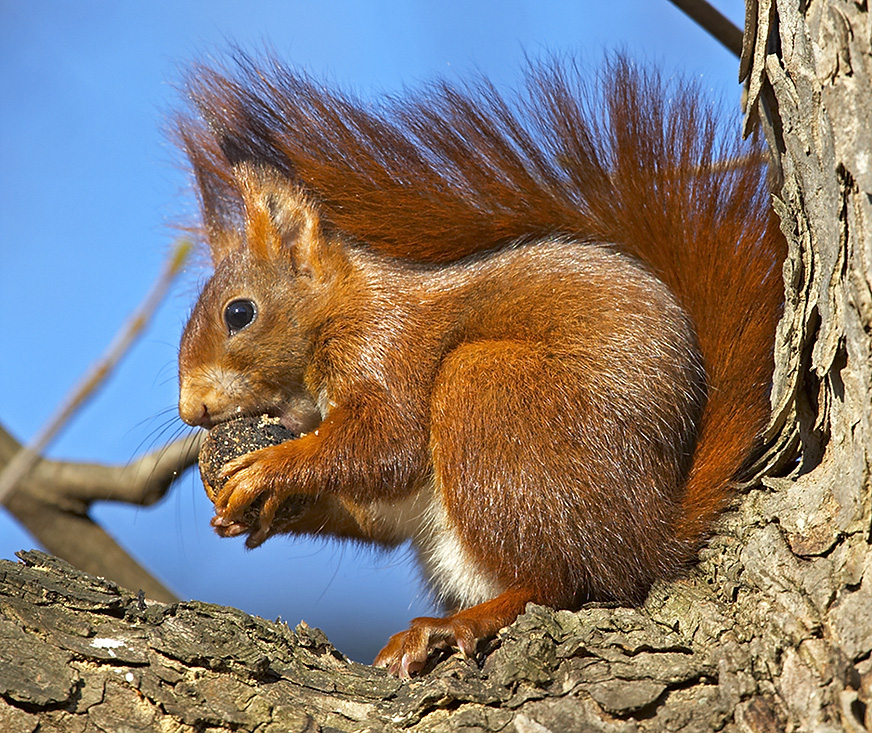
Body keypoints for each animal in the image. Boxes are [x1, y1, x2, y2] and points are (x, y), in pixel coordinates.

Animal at [175, 55, 784, 676]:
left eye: (239, 313)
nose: (191, 409)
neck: (341, 309)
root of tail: (652, 532)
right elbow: (376, 513)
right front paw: (257, 512)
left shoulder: (387, 348)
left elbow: (387, 444)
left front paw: (269, 467)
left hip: (489, 397)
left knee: (562, 582)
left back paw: (455, 624)